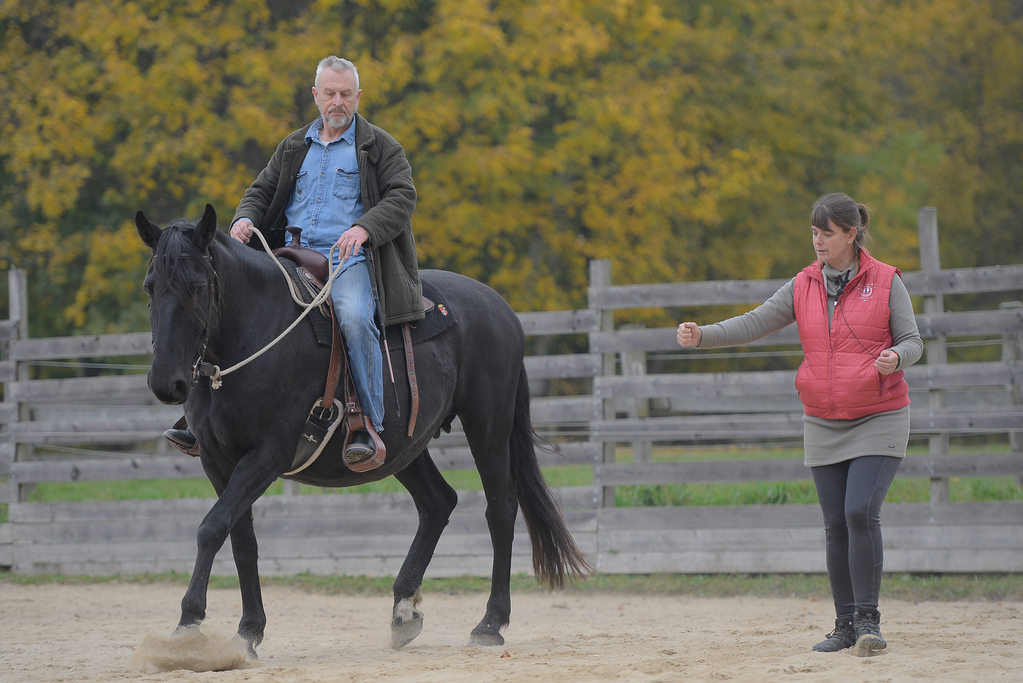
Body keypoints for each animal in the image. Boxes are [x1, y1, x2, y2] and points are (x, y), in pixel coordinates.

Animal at [134, 205, 593, 658]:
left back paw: (490, 623)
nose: (167, 383)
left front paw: (187, 625)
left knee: (500, 511)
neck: (253, 334)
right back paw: (404, 610)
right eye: (150, 287)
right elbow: (239, 537)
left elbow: (212, 527)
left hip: (488, 426)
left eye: (197, 287)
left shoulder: (268, 454)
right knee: (438, 502)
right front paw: (248, 632)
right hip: (401, 446)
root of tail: (501, 308)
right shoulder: (217, 460)